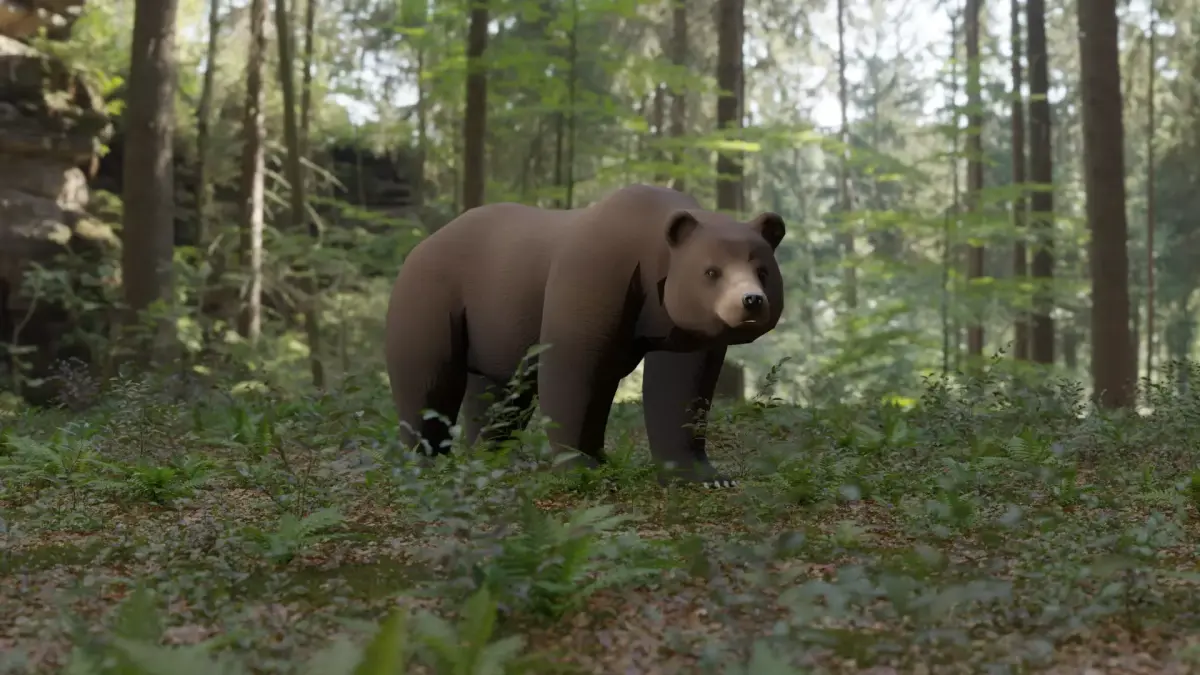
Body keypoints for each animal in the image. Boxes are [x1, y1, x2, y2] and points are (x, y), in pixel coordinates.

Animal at [384, 184, 785, 487]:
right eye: (712, 272)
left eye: (763, 271)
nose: (750, 301)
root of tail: (421, 244)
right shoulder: (596, 277)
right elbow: (574, 370)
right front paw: (586, 465)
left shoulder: (681, 325)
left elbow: (679, 387)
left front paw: (706, 476)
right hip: (436, 300)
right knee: (429, 380)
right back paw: (425, 460)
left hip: (493, 325)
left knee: (499, 391)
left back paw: (502, 458)